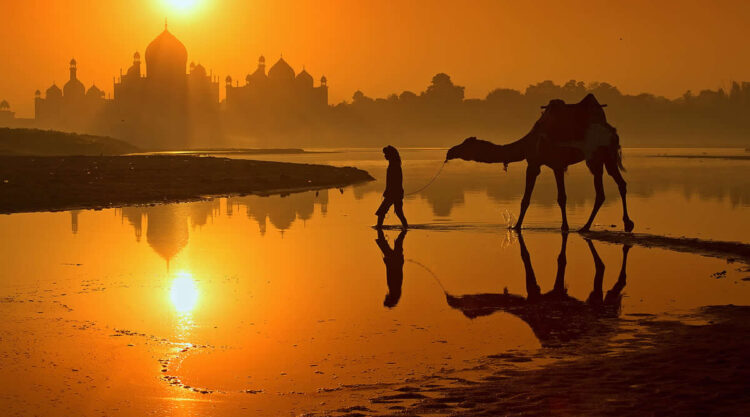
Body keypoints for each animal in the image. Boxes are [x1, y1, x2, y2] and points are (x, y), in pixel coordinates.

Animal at [446, 92, 636, 232]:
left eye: (465, 144)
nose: (450, 152)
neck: (527, 143)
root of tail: (613, 132)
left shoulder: (544, 163)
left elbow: (550, 198)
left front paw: (517, 226)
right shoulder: (542, 164)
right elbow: (538, 198)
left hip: (595, 156)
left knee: (602, 191)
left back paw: (586, 227)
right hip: (607, 156)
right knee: (619, 184)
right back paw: (626, 224)